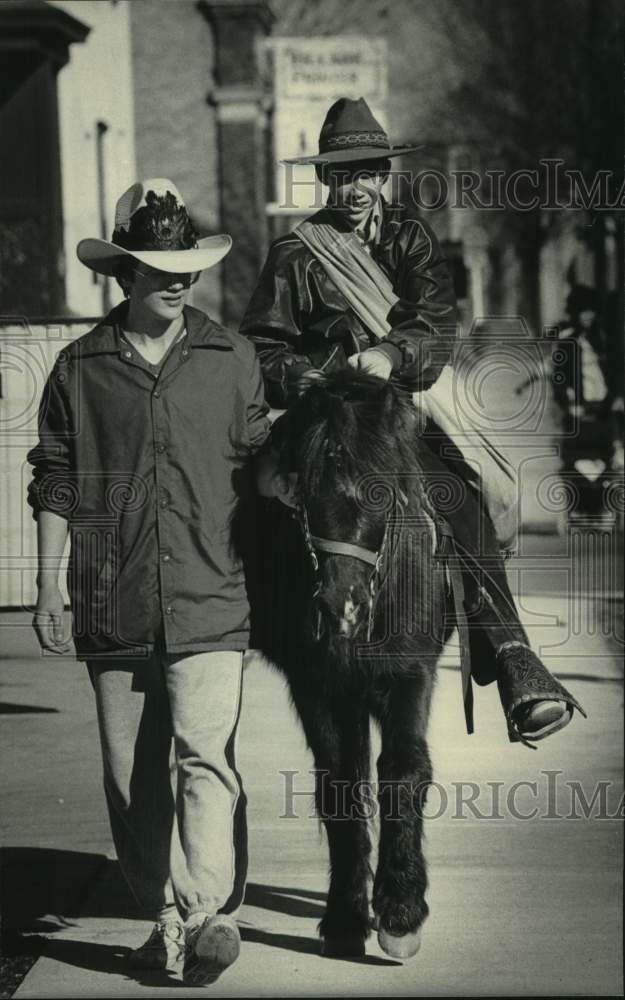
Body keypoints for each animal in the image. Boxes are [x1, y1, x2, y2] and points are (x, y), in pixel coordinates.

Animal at [250, 370, 454, 960]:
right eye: (303, 492)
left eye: (383, 490)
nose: (341, 607)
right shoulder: (317, 684)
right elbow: (340, 782)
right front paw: (345, 917)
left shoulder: (409, 673)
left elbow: (404, 770)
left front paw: (401, 911)